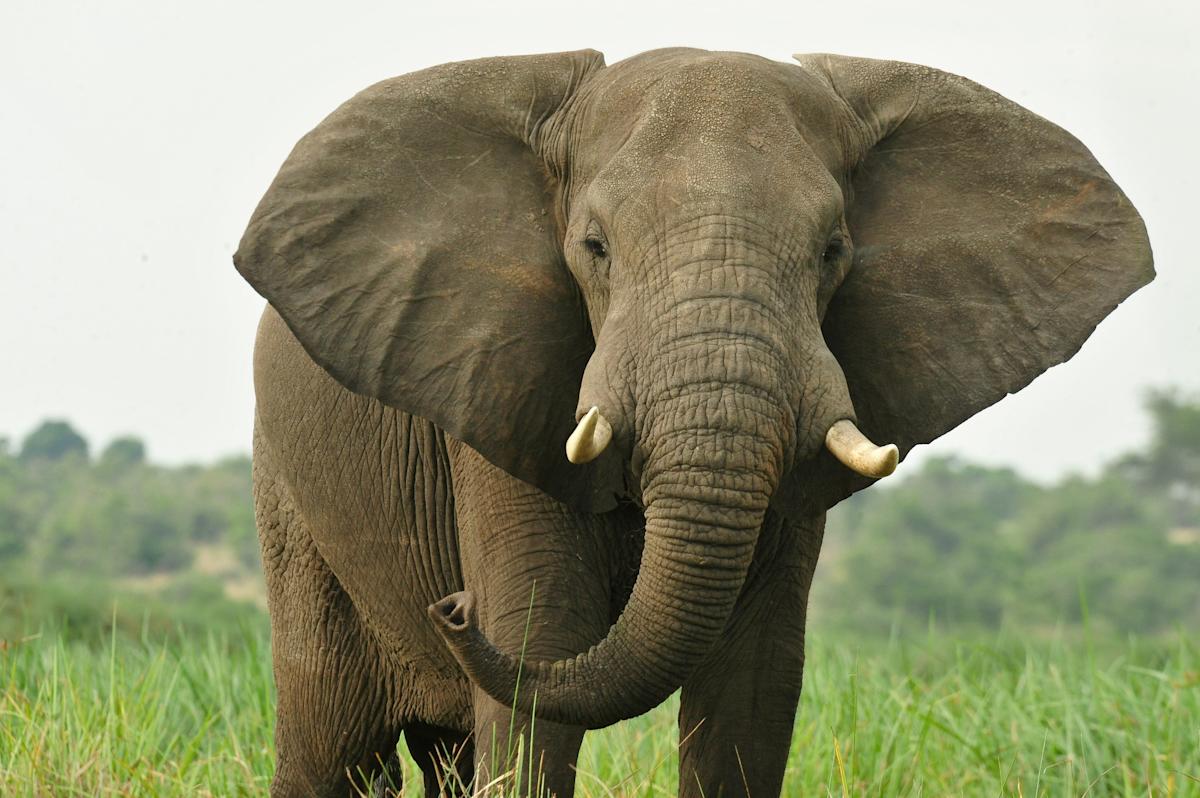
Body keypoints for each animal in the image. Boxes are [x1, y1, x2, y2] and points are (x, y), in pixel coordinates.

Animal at [234, 47, 1152, 797]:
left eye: (832, 251)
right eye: (594, 247)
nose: (452, 607)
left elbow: (752, 686)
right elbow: (541, 635)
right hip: (290, 502)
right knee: (331, 747)